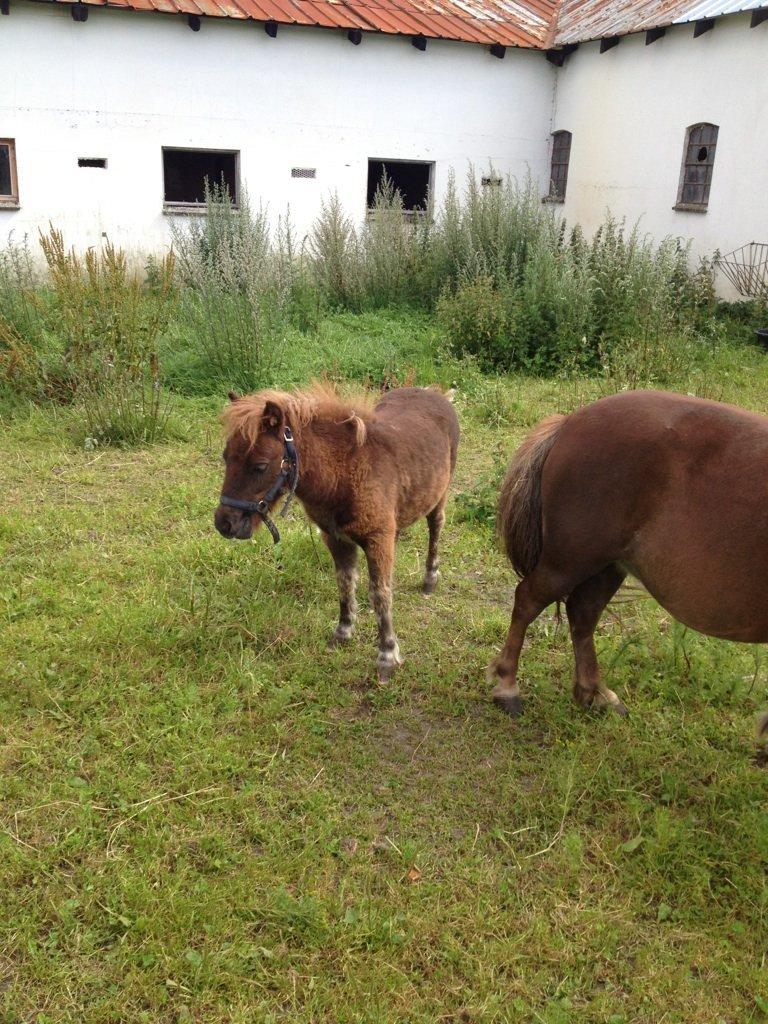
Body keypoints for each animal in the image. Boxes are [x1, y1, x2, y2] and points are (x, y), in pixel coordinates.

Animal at [214, 385, 460, 679]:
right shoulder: (335, 538)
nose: (224, 524)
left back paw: (430, 579)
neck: (343, 474)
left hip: (439, 496)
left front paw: (387, 656)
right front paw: (343, 633)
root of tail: (435, 394)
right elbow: (345, 582)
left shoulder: (377, 540)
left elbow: (380, 594)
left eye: (260, 465)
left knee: (436, 527)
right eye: (226, 457)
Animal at [489, 387, 768, 724]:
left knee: (583, 613)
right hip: (571, 559)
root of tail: (571, 421)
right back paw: (508, 688)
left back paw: (595, 693)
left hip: (609, 564)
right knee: (528, 600)